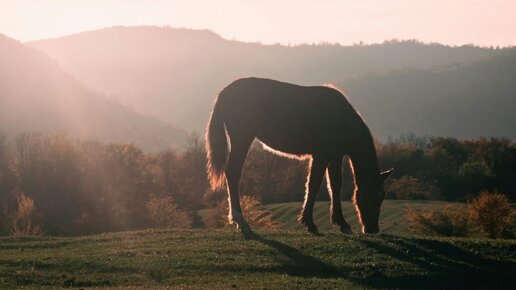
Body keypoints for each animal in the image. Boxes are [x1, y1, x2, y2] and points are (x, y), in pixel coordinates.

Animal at [205, 77, 392, 238]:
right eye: (376, 195)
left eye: (382, 196)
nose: (373, 229)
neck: (341, 118)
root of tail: (224, 92)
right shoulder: (321, 156)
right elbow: (313, 185)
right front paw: (310, 223)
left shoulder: (335, 156)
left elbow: (335, 186)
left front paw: (341, 223)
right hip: (242, 139)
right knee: (233, 173)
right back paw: (241, 221)